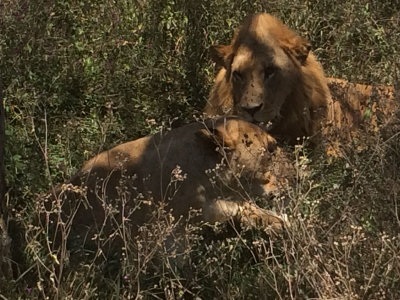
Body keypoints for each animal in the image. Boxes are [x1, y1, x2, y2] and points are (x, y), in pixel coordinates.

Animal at [43, 116, 294, 256]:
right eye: (271, 148)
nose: (292, 176)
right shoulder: (168, 236)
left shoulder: (234, 206)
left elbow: (266, 215)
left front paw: (287, 227)